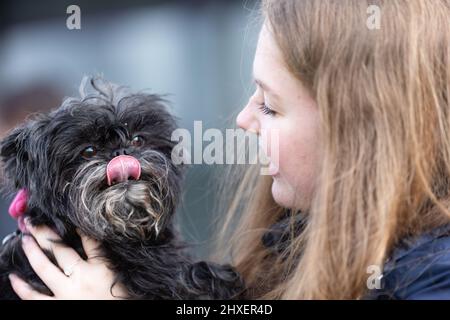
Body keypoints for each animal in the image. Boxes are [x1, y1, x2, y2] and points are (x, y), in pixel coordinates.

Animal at [0, 77, 243, 300]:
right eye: (89, 151)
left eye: (137, 140)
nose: (121, 152)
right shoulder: (156, 277)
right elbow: (188, 277)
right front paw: (222, 279)